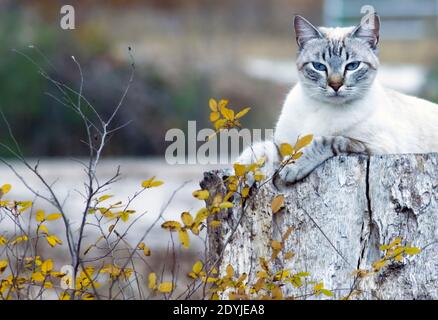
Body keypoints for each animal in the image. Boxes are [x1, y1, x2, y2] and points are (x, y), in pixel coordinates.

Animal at [236, 14, 438, 185]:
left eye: (352, 66)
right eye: (318, 67)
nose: (335, 85)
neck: (319, 108)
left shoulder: (373, 147)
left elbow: (326, 141)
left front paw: (292, 167)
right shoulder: (282, 143)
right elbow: (261, 148)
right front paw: (243, 171)